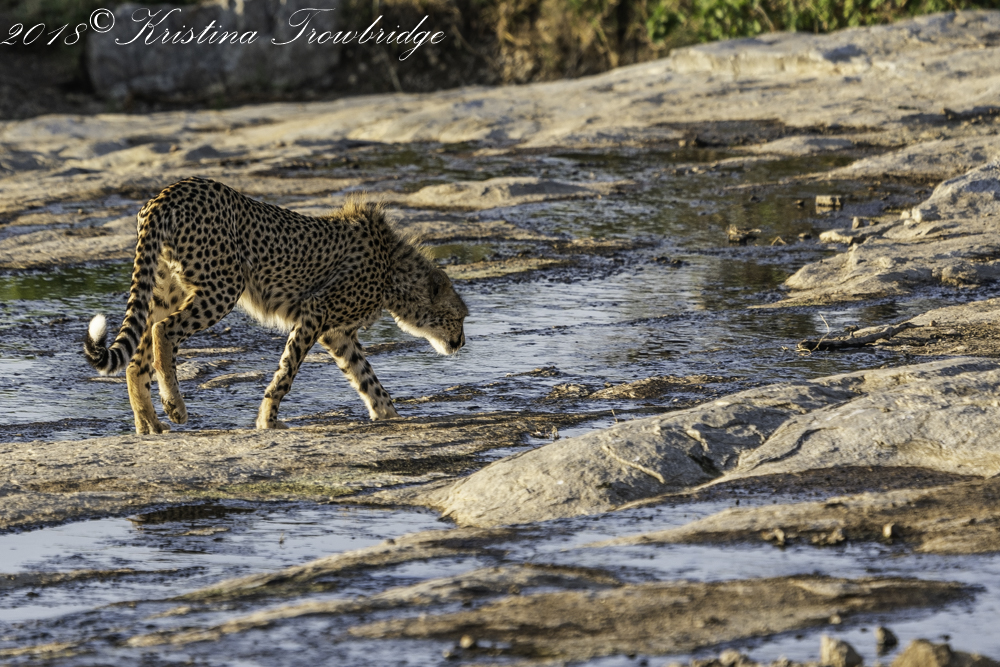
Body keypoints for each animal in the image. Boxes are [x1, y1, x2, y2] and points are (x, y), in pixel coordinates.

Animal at [84, 177, 468, 434]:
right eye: (461, 317)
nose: (462, 342)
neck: (393, 268)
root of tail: (169, 191)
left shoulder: (338, 333)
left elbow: (367, 378)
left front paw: (390, 416)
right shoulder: (317, 311)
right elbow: (287, 372)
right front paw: (267, 419)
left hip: (166, 290)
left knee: (138, 357)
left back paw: (149, 425)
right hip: (224, 286)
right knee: (163, 331)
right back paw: (175, 407)